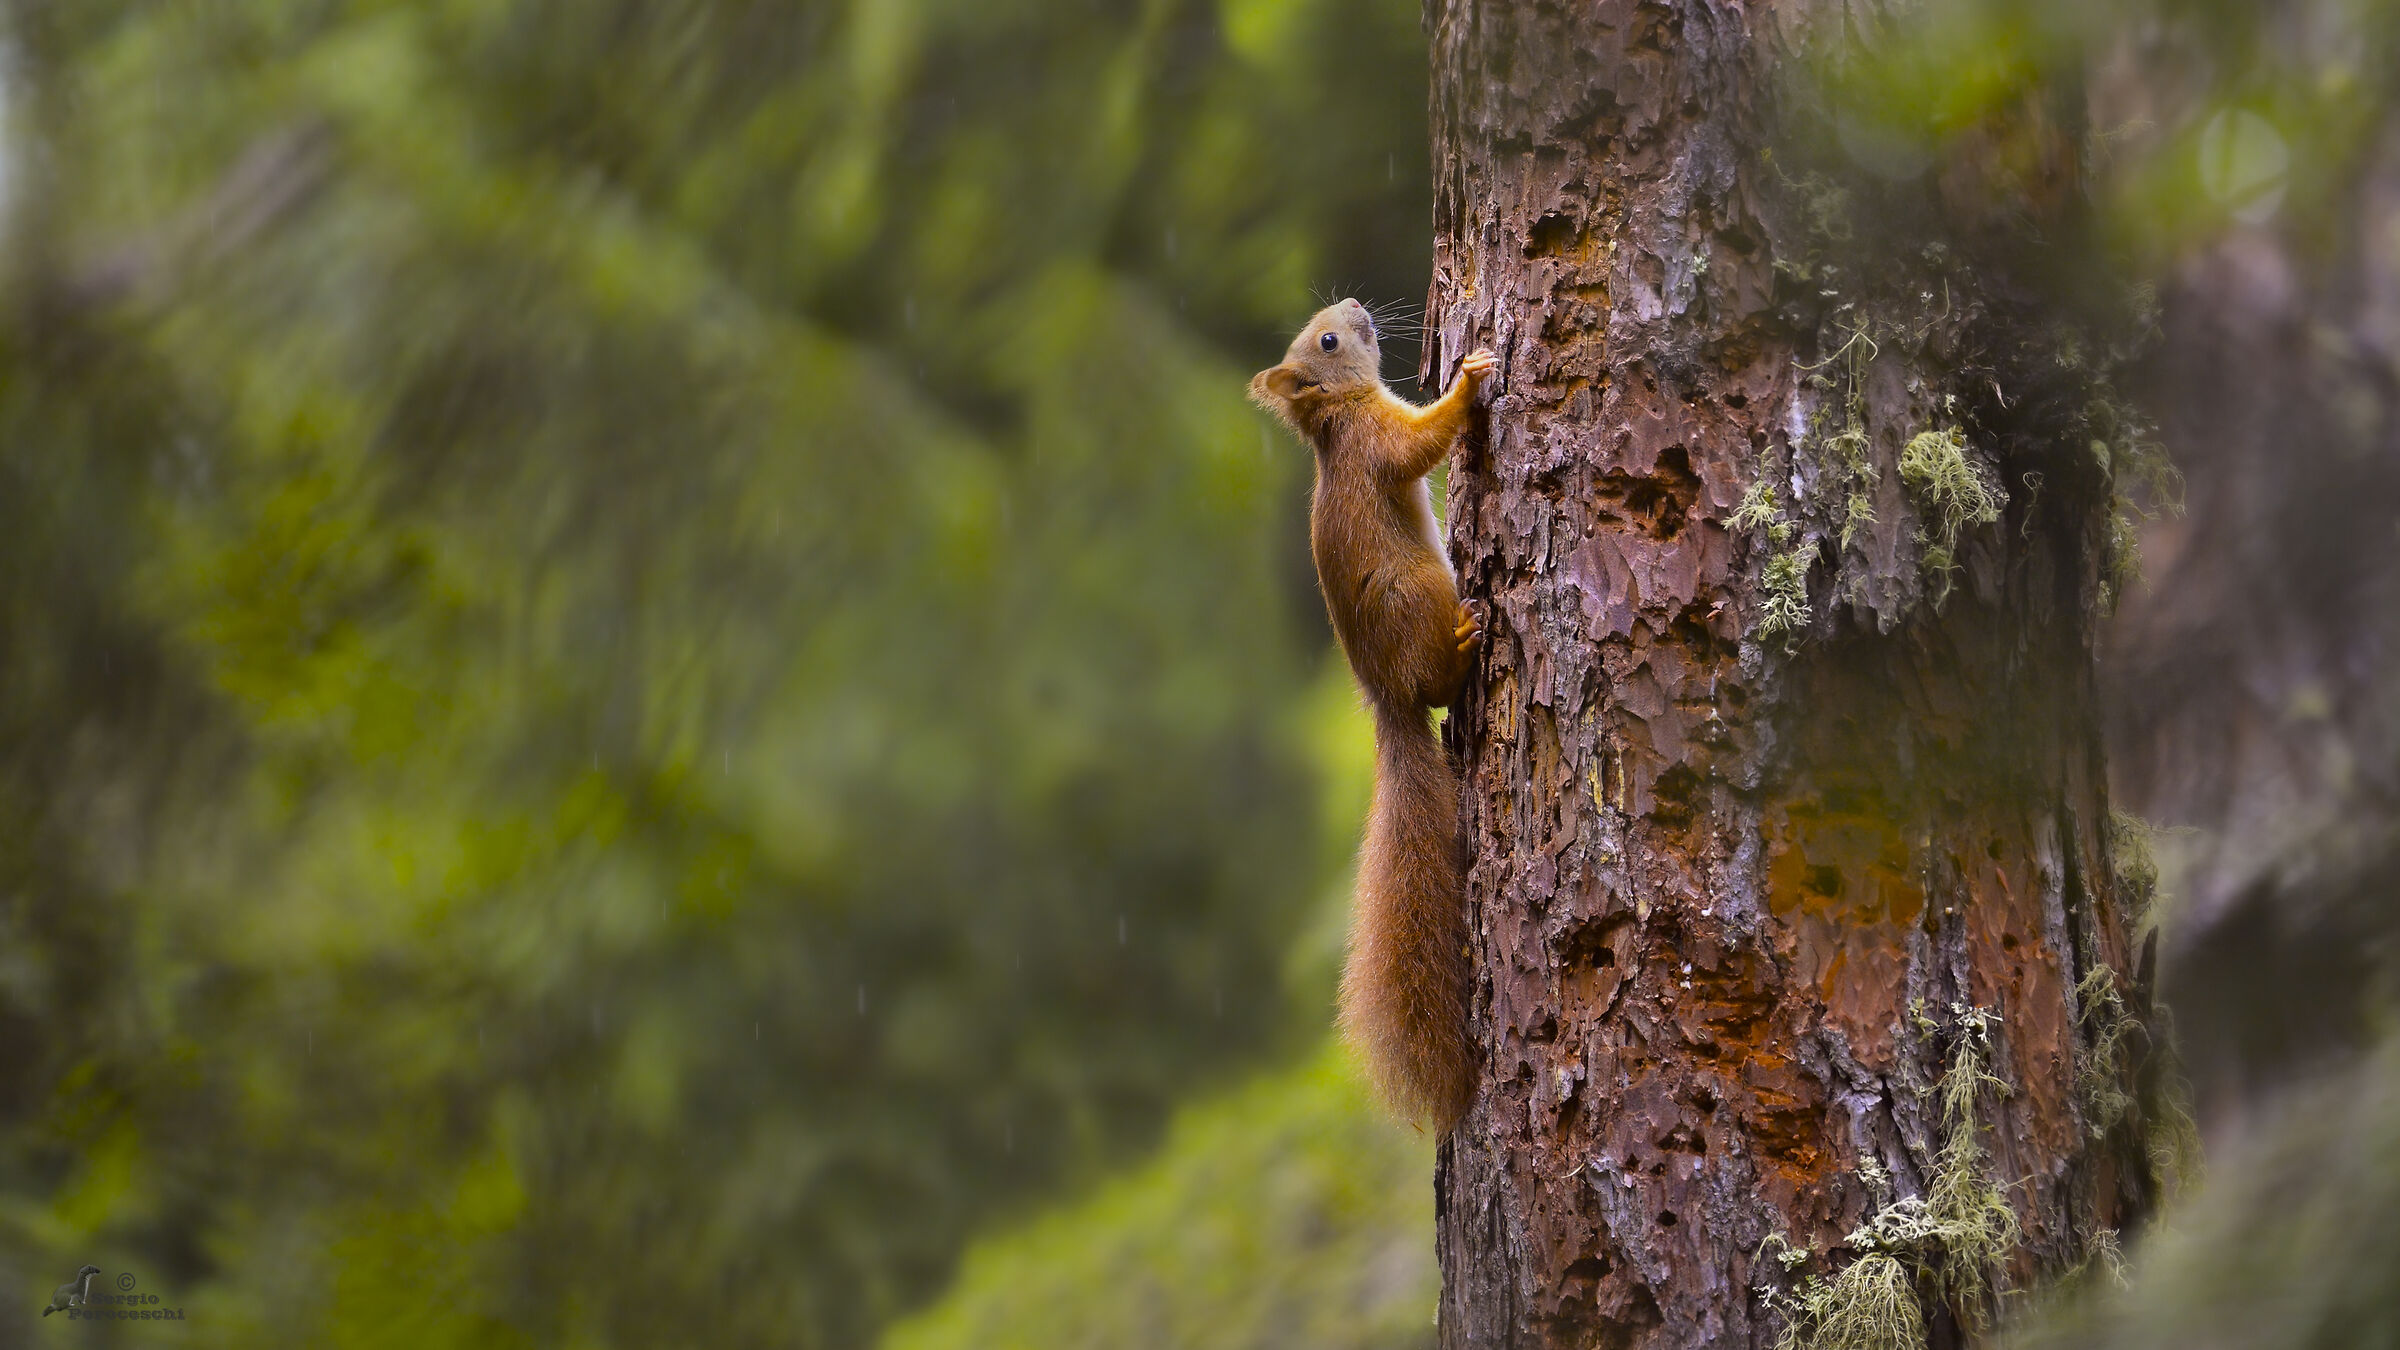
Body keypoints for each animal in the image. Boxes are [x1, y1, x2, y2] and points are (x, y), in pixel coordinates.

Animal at [1250, 298, 1496, 1131]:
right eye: (1327, 341)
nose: (1355, 306)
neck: (1341, 418)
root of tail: (1389, 703)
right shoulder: (1380, 444)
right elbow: (1422, 442)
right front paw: (1468, 382)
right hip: (1422, 589)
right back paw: (1466, 640)